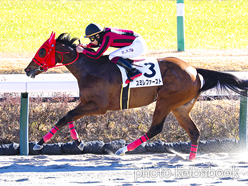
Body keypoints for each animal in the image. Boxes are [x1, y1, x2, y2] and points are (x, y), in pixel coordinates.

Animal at [24, 32, 247, 160]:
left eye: (42, 51)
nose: (27, 70)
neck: (90, 69)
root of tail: (195, 70)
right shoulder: (86, 102)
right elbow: (68, 116)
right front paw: (77, 142)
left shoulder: (99, 106)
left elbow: (67, 115)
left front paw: (39, 143)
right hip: (180, 107)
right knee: (194, 132)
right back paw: (190, 160)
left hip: (166, 101)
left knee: (156, 128)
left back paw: (122, 150)